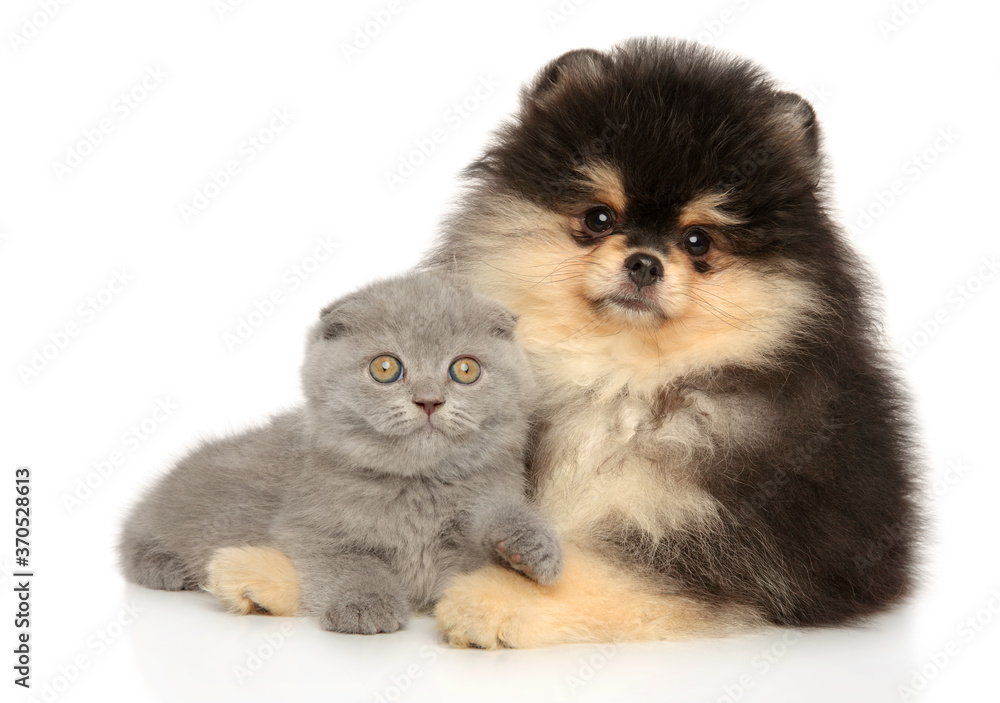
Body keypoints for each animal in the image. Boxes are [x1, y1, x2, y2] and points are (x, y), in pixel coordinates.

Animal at [119, 272, 564, 636]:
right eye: (385, 368)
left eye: (465, 369)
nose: (428, 401)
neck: (417, 488)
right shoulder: (312, 529)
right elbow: (353, 562)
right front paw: (366, 605)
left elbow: (499, 522)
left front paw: (530, 549)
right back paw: (168, 567)